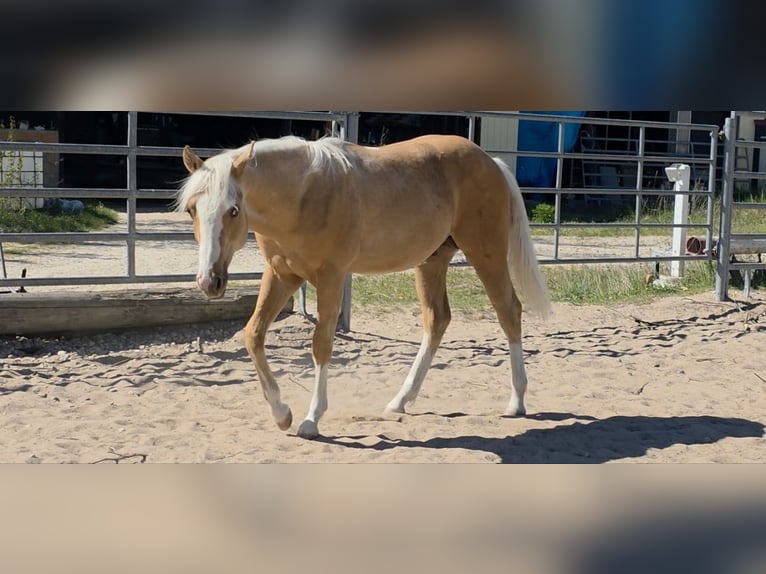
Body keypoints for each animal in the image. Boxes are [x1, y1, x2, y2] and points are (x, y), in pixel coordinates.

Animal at [177, 134, 550, 439]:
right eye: (192, 210)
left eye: (233, 210)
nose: (209, 281)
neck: (304, 194)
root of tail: (491, 162)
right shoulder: (281, 275)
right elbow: (253, 335)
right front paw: (282, 414)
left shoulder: (331, 277)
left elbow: (321, 345)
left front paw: (311, 420)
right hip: (432, 262)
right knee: (437, 320)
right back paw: (400, 401)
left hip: (486, 253)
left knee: (509, 311)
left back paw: (516, 401)